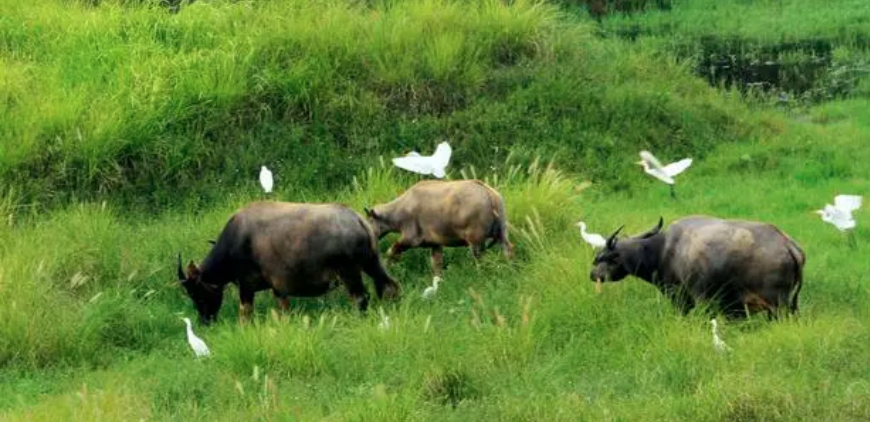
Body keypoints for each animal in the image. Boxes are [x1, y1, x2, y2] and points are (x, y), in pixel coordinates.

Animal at [182, 201, 408, 324]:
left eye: (196, 292)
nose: (204, 320)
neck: (237, 239)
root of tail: (357, 219)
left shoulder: (246, 286)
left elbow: (245, 313)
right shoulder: (278, 289)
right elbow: (283, 310)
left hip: (349, 272)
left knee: (360, 298)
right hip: (372, 263)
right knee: (390, 286)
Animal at [364, 180, 516, 278]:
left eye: (369, 221)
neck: (400, 210)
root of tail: (489, 193)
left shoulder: (410, 238)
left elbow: (391, 251)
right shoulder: (435, 244)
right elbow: (436, 265)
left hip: (475, 240)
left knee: (480, 258)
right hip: (502, 232)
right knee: (508, 249)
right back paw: (510, 268)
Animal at [588, 216, 808, 318]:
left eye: (601, 257)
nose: (592, 274)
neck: (663, 250)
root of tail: (788, 245)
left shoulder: (682, 298)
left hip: (777, 305)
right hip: (791, 304)